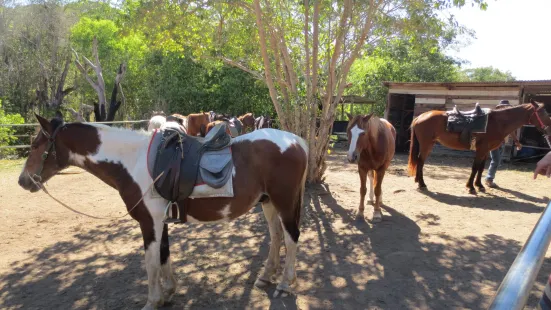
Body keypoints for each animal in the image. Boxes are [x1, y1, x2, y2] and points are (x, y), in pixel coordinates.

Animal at [18, 114, 310, 310]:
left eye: (35, 145)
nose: (23, 181)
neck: (133, 161)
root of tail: (297, 141)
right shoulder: (162, 221)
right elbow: (164, 253)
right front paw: (169, 291)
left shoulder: (149, 222)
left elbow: (151, 261)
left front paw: (153, 300)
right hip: (268, 202)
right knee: (276, 236)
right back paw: (266, 277)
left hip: (284, 202)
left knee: (291, 237)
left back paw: (285, 283)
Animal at [408, 101, 551, 194]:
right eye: (542, 113)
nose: (549, 130)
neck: (497, 122)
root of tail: (420, 117)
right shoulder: (481, 149)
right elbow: (475, 167)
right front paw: (470, 187)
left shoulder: (486, 150)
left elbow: (481, 168)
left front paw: (479, 185)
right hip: (426, 145)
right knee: (420, 162)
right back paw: (422, 184)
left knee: (420, 162)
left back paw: (418, 181)